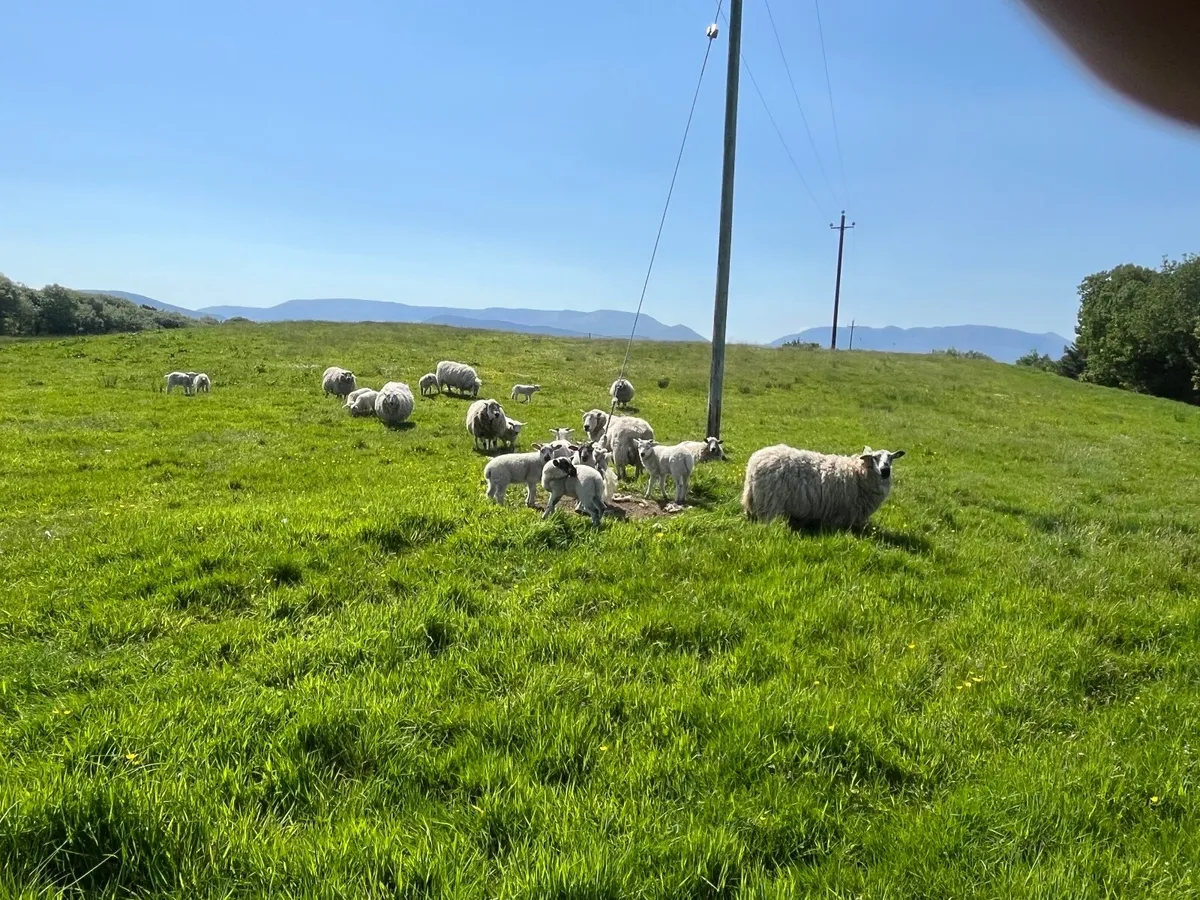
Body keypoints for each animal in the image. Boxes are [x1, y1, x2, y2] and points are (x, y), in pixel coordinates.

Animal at [741, 445, 907, 531]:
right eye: (875, 457)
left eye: (891, 458)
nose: (885, 471)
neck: (858, 473)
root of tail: (755, 460)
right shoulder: (841, 513)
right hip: (770, 504)